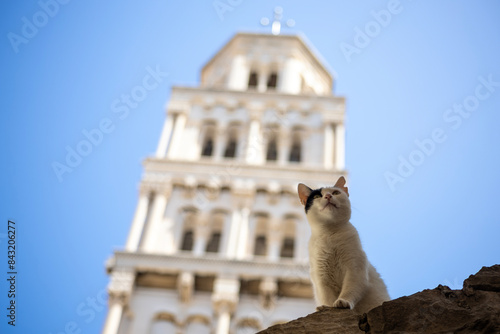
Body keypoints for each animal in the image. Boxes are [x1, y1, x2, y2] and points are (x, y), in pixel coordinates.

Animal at [296, 176, 390, 314]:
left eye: (335, 192)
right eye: (317, 196)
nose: (328, 196)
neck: (330, 235)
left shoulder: (355, 268)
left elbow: (349, 290)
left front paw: (343, 302)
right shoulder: (320, 275)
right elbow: (327, 297)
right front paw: (326, 307)